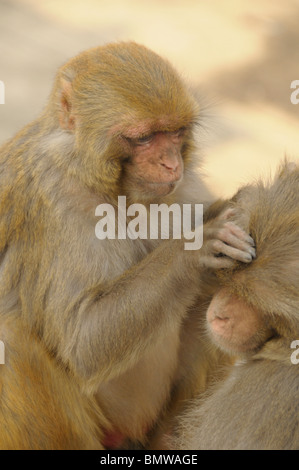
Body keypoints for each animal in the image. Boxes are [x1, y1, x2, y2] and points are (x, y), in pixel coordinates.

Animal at [0, 42, 256, 450]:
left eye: (175, 132)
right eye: (143, 138)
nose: (171, 164)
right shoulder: (54, 196)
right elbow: (83, 343)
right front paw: (198, 246)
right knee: (10, 339)